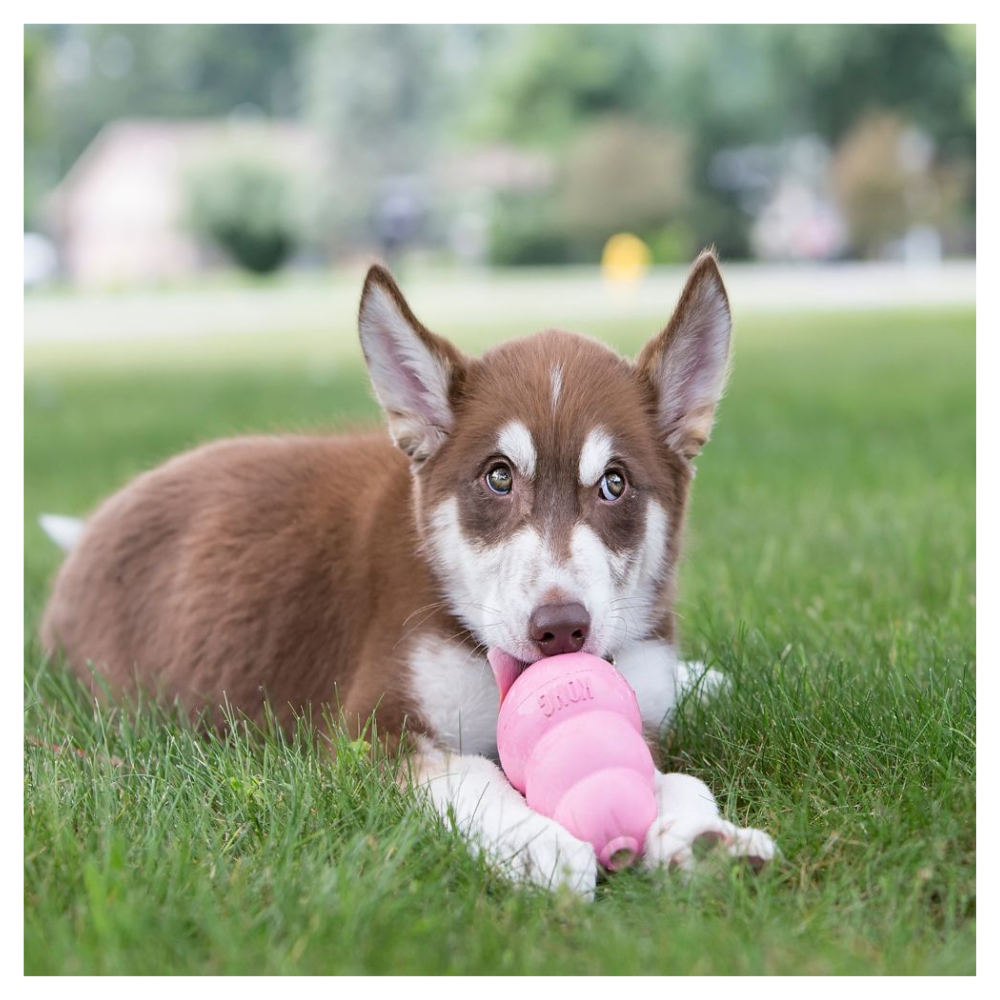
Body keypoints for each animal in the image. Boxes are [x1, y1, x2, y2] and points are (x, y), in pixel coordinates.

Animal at [41, 252, 772, 900]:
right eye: (498, 477)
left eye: (614, 484)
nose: (561, 630)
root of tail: (93, 529)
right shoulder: (371, 731)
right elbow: (470, 772)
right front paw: (537, 841)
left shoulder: (641, 694)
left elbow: (670, 772)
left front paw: (705, 834)